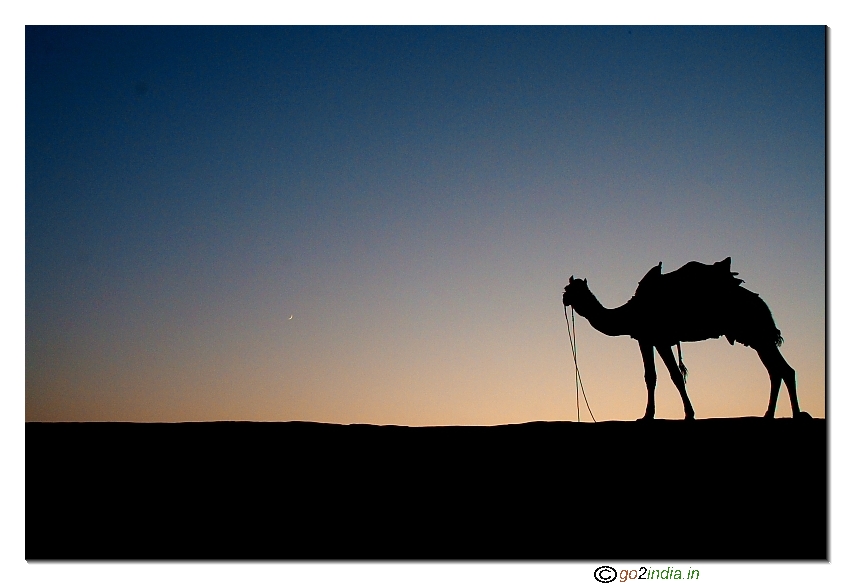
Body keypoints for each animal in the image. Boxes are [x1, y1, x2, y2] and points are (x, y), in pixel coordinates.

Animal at [561, 257, 809, 420]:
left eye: (571, 289)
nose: (564, 298)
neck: (629, 313)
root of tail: (763, 305)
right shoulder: (647, 339)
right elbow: (654, 376)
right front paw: (652, 415)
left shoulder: (657, 338)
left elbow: (671, 376)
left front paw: (681, 414)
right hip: (756, 338)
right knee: (778, 370)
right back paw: (770, 414)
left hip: (757, 333)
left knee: (782, 370)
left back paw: (796, 415)